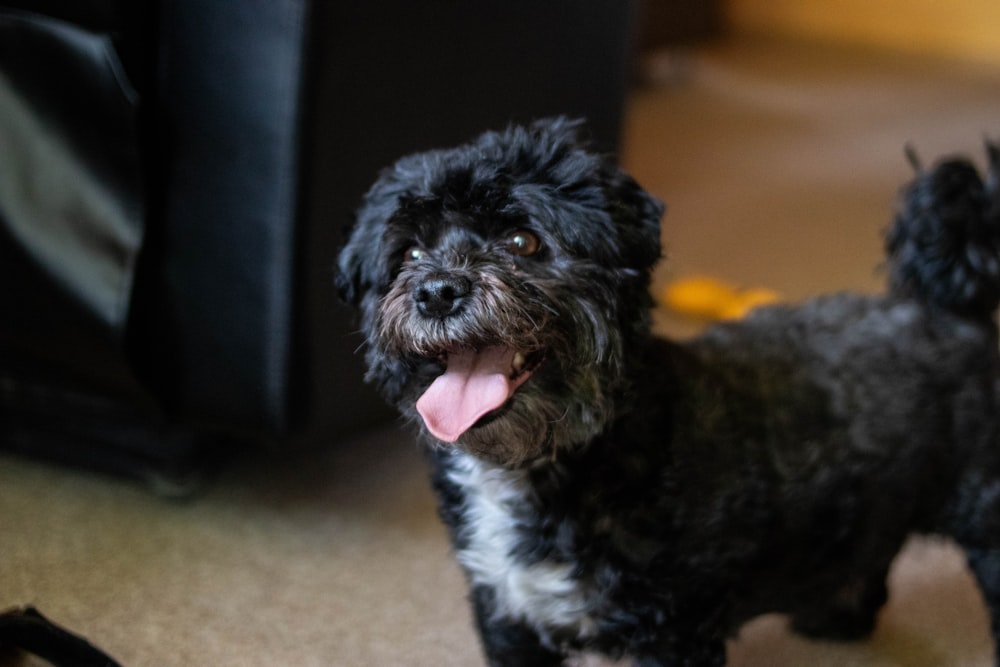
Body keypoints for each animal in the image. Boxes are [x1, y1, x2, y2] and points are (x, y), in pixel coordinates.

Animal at [338, 120, 1000, 667]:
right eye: (411, 252)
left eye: (525, 241)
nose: (436, 291)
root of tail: (955, 310)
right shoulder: (506, 614)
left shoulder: (676, 630)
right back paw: (839, 617)